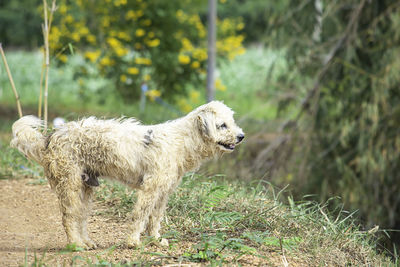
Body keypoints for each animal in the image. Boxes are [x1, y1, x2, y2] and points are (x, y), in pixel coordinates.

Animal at [10, 101, 244, 250]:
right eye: (222, 125)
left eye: (232, 122)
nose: (241, 136)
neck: (182, 141)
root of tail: (52, 136)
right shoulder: (150, 189)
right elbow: (140, 217)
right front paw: (133, 241)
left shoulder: (163, 192)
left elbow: (154, 219)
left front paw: (155, 240)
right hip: (70, 186)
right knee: (69, 218)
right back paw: (76, 245)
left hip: (86, 189)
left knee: (81, 218)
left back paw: (86, 243)